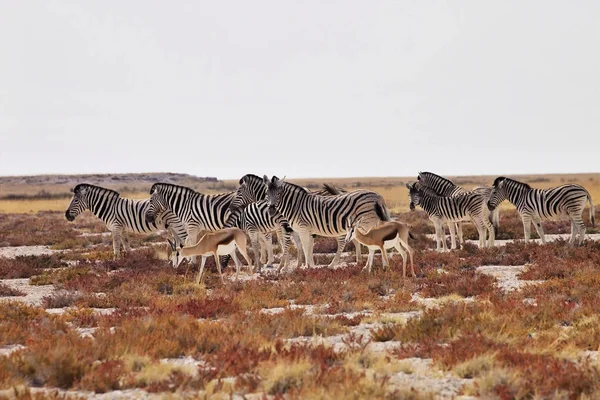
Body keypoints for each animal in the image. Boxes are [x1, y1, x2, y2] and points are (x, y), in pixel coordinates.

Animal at [264, 176, 392, 268]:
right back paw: (383, 265)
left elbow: (305, 247)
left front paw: (306, 268)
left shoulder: (303, 228)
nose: (271, 210)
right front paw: (309, 266)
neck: (296, 205)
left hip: (366, 224)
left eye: (278, 194)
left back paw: (365, 267)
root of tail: (377, 196)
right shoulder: (308, 230)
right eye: (266, 194)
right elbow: (308, 247)